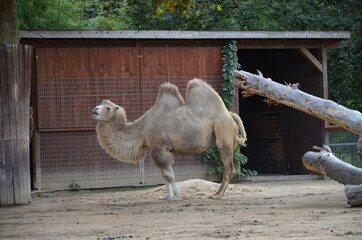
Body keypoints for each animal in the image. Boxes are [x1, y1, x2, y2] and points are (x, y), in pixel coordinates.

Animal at [92, 79, 247, 201]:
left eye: (108, 108)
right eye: (100, 103)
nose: (94, 110)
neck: (141, 129)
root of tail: (230, 114)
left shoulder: (160, 149)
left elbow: (169, 175)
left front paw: (176, 196)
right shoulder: (156, 150)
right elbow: (163, 175)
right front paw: (166, 196)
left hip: (224, 134)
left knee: (228, 167)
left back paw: (218, 195)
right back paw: (218, 193)